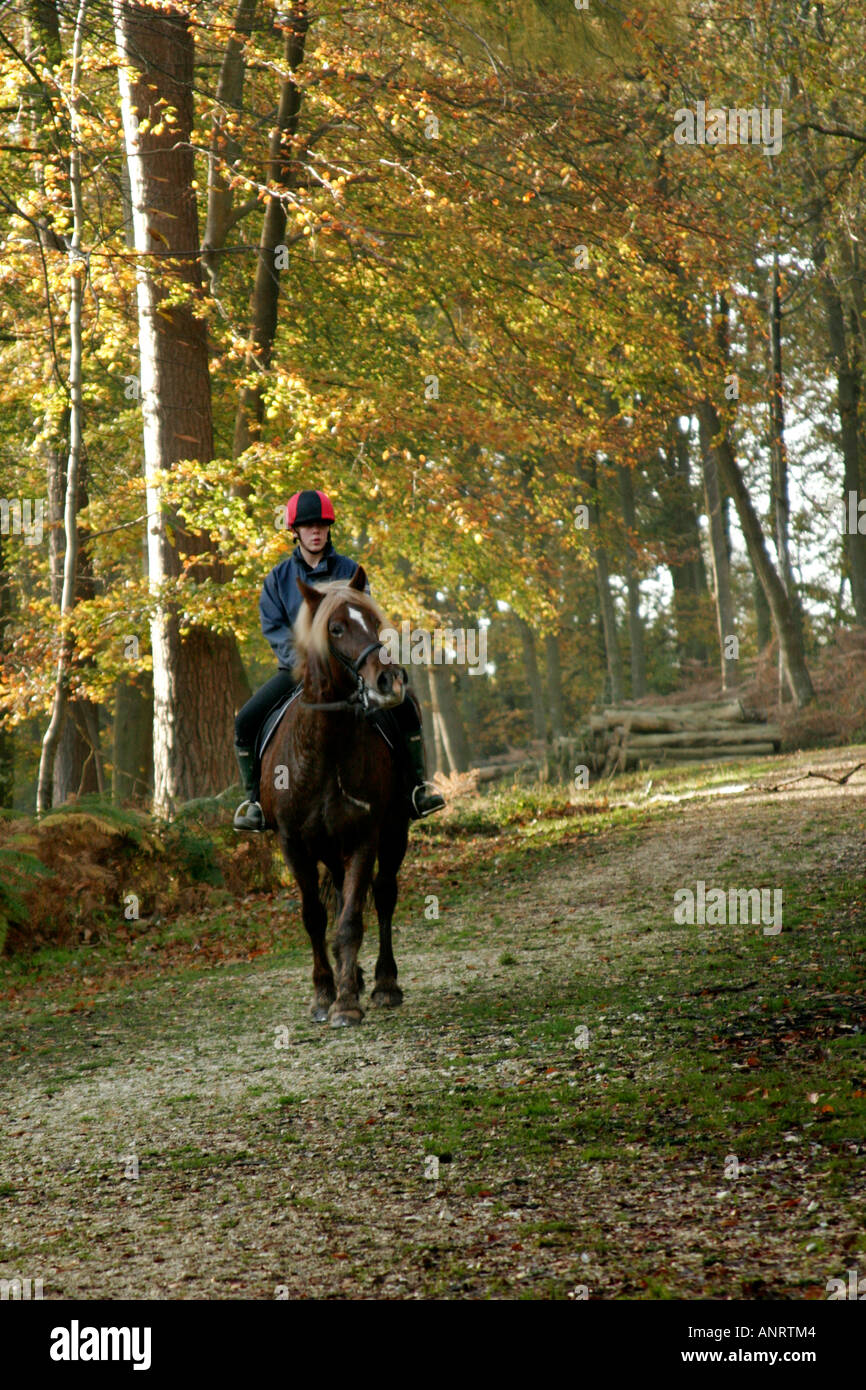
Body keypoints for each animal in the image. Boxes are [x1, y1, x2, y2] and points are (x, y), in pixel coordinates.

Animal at [261, 558, 414, 1028]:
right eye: (336, 628)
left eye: (375, 622)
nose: (389, 681)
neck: (325, 749)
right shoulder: (292, 842)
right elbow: (314, 915)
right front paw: (324, 994)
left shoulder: (365, 835)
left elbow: (351, 920)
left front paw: (346, 1002)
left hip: (394, 832)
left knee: (382, 896)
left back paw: (383, 983)